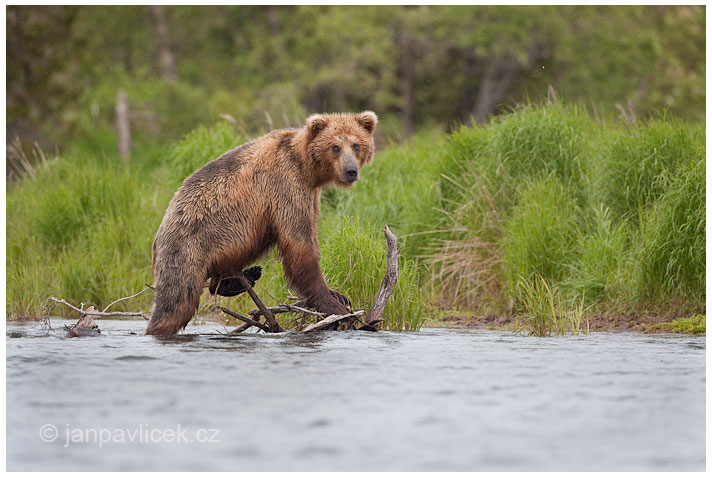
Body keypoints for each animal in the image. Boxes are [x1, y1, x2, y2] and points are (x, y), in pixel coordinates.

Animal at [146, 112, 378, 336]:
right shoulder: (286, 186)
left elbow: (309, 235)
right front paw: (335, 306)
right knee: (177, 300)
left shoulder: (311, 195)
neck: (308, 169)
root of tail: (159, 233)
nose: (351, 170)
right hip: (188, 247)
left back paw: (243, 278)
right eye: (335, 147)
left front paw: (339, 295)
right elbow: (299, 245)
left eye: (356, 145)